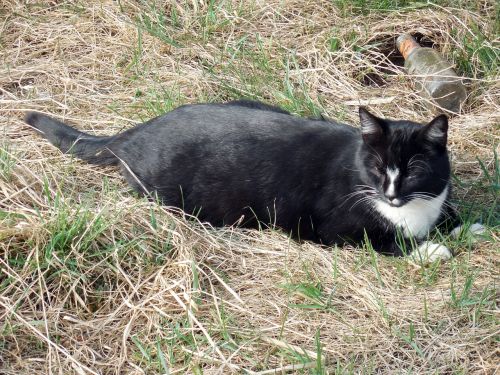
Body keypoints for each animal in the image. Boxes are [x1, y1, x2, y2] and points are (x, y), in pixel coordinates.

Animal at [25, 101, 478, 262]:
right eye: (378, 168)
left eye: (414, 171)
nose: (391, 193)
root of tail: (136, 132)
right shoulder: (334, 228)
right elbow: (383, 240)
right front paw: (431, 248)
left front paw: (465, 225)